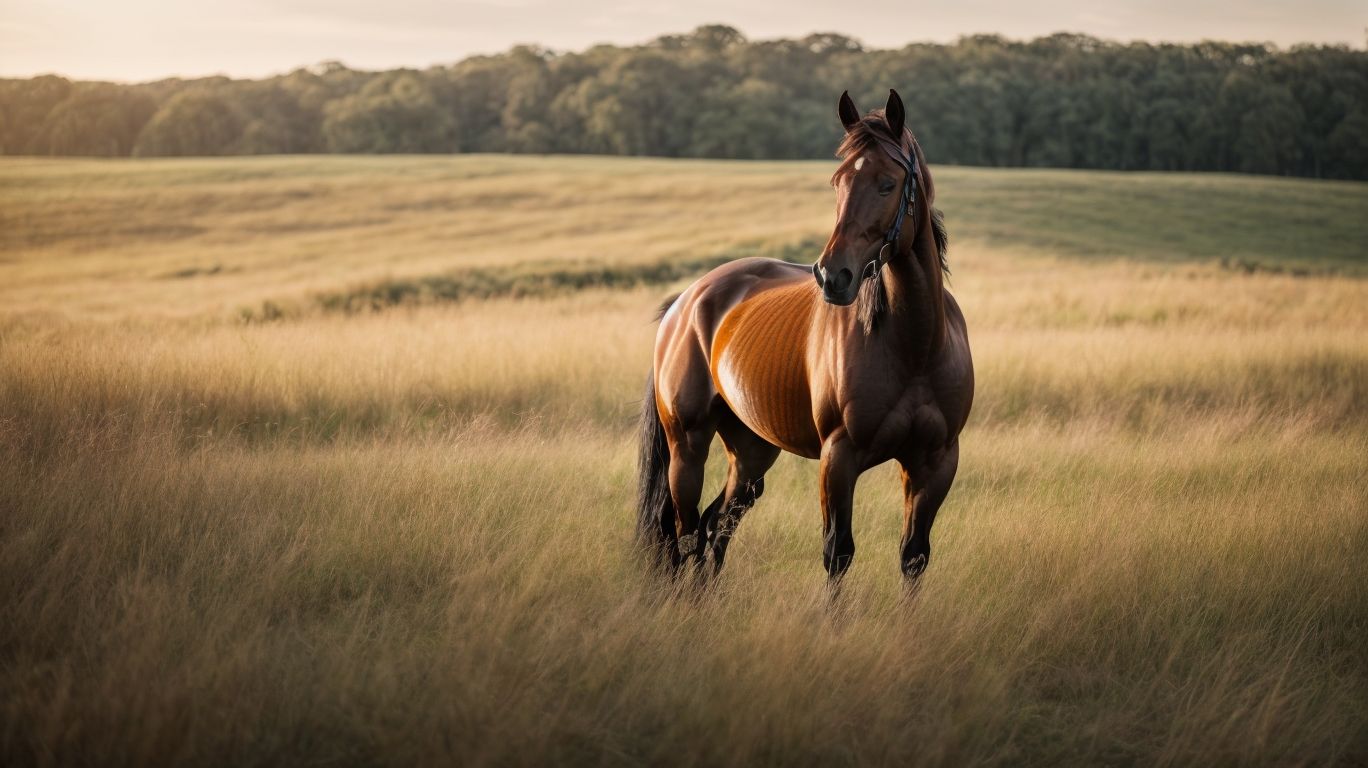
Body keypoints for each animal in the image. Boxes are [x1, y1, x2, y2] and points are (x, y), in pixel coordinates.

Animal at [636, 89, 974, 585]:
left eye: (888, 183)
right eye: (837, 182)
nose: (833, 276)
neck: (915, 348)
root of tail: (685, 302)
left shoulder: (934, 462)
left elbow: (914, 556)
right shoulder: (839, 458)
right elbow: (838, 552)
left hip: (752, 452)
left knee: (714, 528)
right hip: (688, 446)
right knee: (684, 535)